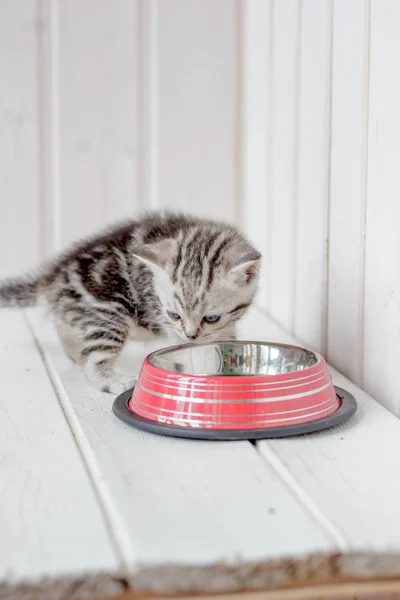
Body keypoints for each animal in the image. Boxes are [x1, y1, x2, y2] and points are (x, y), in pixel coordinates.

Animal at [0, 212, 260, 394]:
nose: (190, 335)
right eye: (174, 315)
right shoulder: (167, 323)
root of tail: (56, 275)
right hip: (108, 313)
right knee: (94, 361)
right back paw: (112, 380)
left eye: (211, 318)